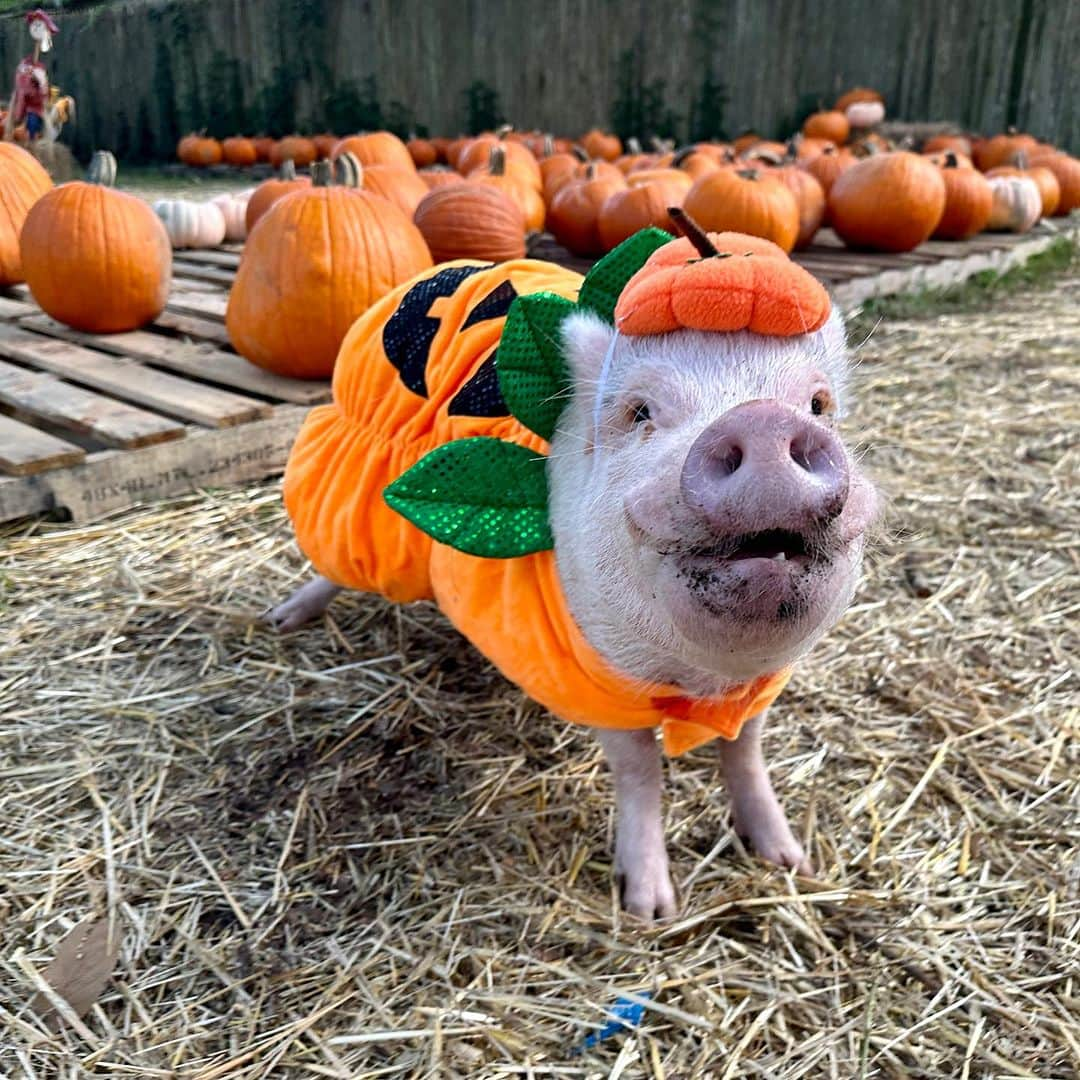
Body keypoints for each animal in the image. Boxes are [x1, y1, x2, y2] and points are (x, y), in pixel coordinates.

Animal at [267, 295, 876, 920]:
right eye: (639, 411)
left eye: (817, 403)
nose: (762, 419)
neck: (702, 680)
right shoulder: (599, 682)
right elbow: (640, 770)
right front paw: (650, 912)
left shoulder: (762, 686)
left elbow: (747, 752)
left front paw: (793, 864)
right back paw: (283, 619)